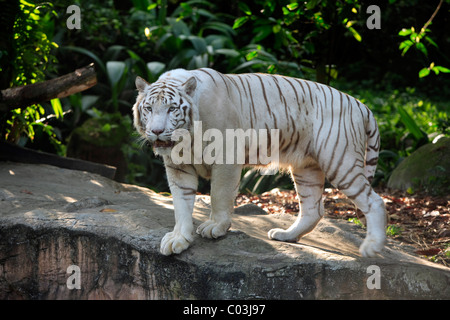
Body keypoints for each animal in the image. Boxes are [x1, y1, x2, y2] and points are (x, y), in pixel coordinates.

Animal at [133, 67, 386, 258]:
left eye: (172, 109)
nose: (157, 131)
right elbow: (181, 205)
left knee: (375, 201)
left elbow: (218, 196)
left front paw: (216, 227)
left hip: (340, 160)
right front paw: (179, 239)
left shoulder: (226, 157)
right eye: (149, 109)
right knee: (313, 209)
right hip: (306, 168)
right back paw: (286, 235)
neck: (187, 140)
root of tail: (361, 105)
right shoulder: (178, 167)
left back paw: (371, 247)